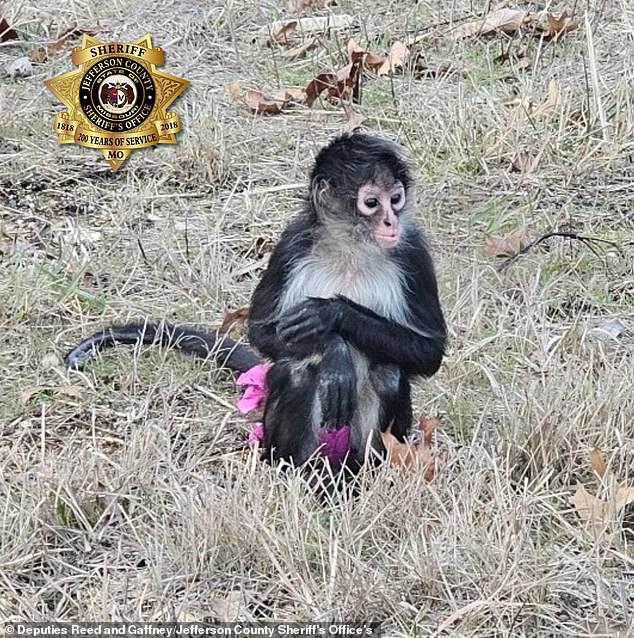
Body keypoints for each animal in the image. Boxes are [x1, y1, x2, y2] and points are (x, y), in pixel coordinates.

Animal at [61, 134, 442, 470]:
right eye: (371, 203)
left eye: (396, 198)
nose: (391, 221)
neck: (351, 249)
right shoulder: (292, 245)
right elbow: (262, 332)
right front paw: (335, 350)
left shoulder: (412, 252)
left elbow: (430, 352)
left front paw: (333, 313)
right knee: (294, 370)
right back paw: (294, 471)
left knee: (388, 373)